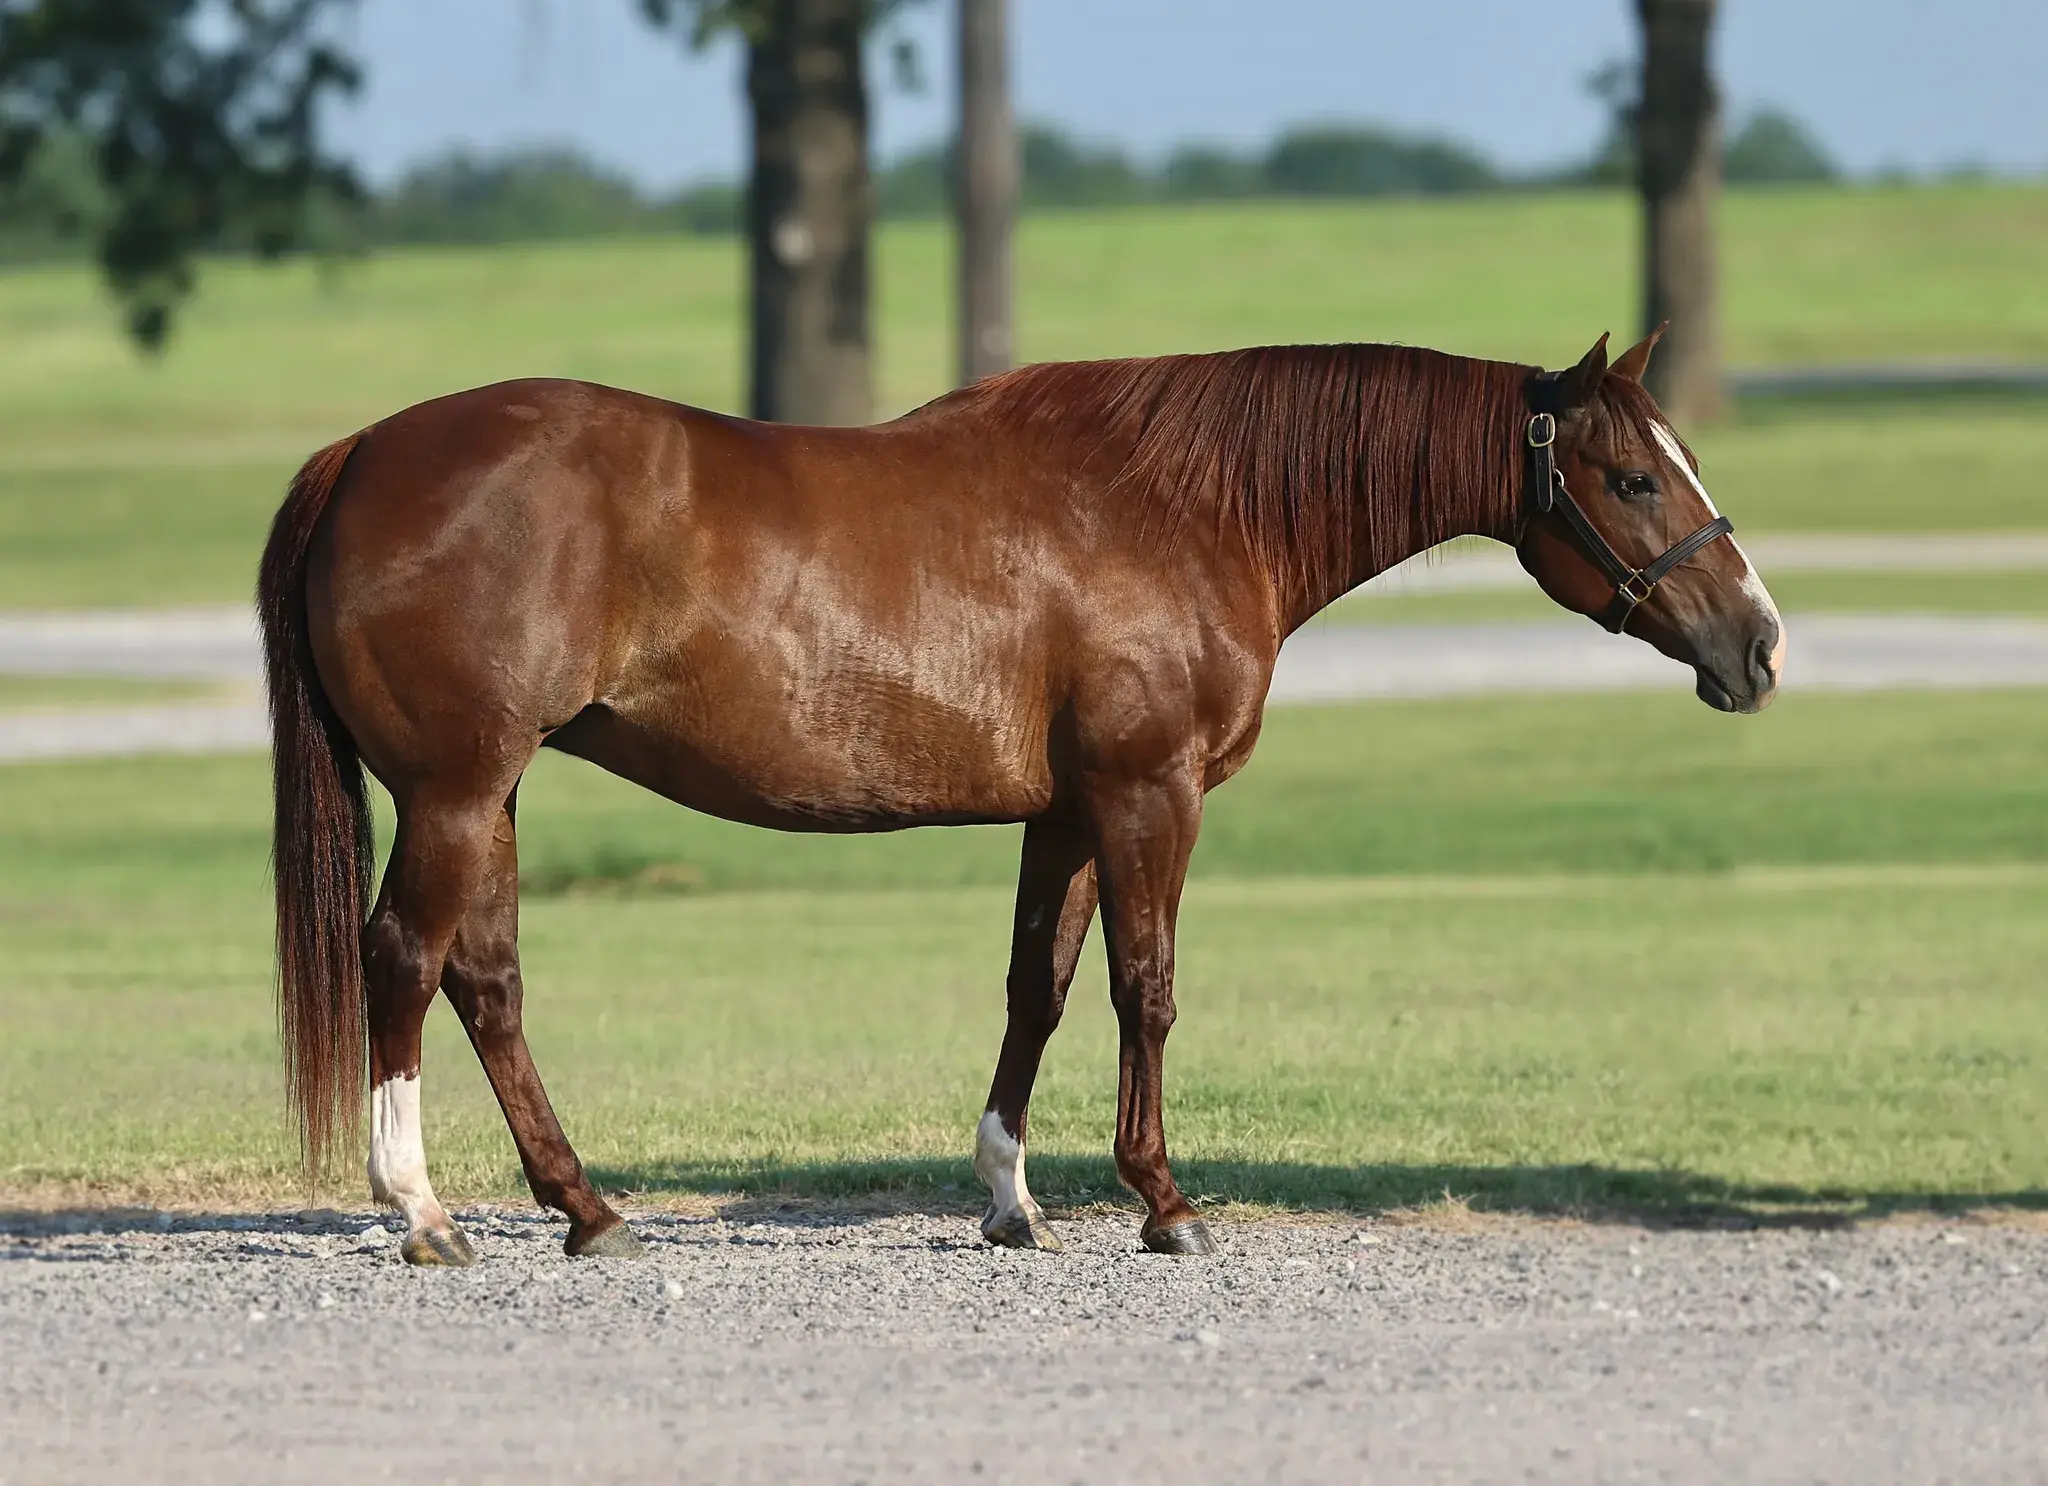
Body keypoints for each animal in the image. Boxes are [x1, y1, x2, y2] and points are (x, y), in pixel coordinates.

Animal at [257, 327, 1783, 1265]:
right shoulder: (1149, 794)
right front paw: (1164, 1201)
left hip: (491, 792)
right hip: (457, 790)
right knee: (403, 959)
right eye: (1631, 477)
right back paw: (421, 1212)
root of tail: (363, 454)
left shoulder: (1066, 811)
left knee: (486, 980)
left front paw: (1008, 1195)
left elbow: (1034, 989)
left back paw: (583, 1206)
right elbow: (1144, 989)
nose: (1758, 644)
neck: (1186, 505)